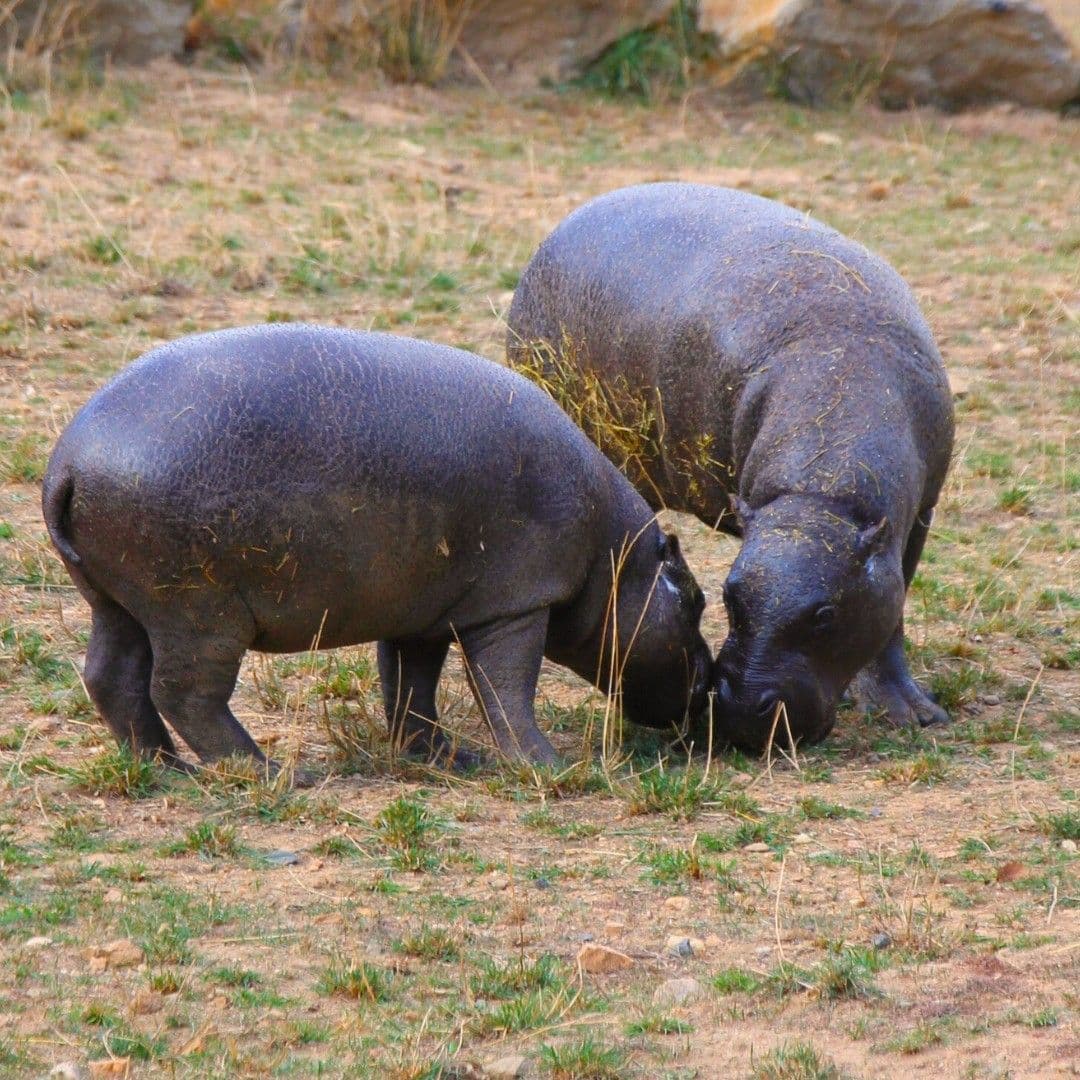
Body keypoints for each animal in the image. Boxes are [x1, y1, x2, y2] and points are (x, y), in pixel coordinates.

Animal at [42, 324, 712, 772]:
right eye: (695, 601)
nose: (712, 682)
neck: (617, 557)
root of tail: (68, 459)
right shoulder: (516, 603)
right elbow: (505, 688)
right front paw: (550, 766)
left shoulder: (423, 610)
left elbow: (411, 689)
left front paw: (444, 759)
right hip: (198, 610)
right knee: (186, 693)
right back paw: (270, 772)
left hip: (117, 602)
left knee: (112, 677)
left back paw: (165, 769)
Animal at [507, 183, 955, 752]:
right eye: (729, 595)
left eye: (825, 615)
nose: (739, 710)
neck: (819, 498)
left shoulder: (915, 518)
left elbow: (892, 613)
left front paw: (913, 715)